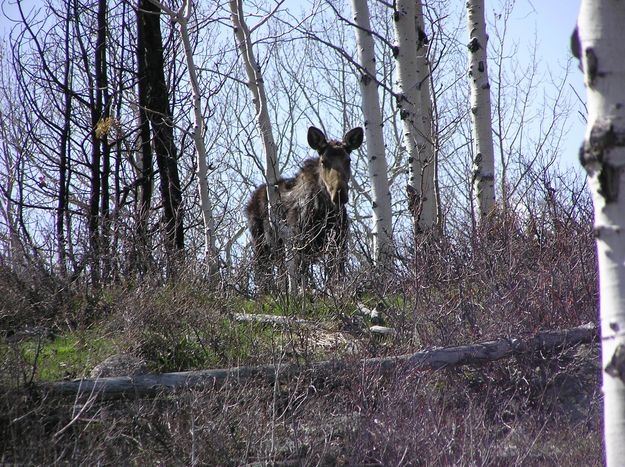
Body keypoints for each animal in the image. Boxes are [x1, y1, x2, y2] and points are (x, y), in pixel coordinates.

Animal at [246, 126, 364, 290]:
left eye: (348, 160)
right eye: (323, 161)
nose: (339, 193)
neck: (326, 213)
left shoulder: (339, 246)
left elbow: (336, 280)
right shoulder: (299, 246)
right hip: (261, 246)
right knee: (263, 277)